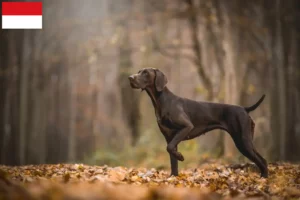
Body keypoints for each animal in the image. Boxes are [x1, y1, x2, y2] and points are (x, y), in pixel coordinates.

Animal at [127, 68, 268, 177]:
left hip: (242, 141)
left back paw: (263, 179)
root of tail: (244, 108)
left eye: (145, 73)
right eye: (139, 71)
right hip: (246, 140)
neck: (161, 101)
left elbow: (170, 148)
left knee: (262, 160)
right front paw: (173, 178)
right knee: (261, 160)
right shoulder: (169, 137)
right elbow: (172, 160)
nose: (130, 78)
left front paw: (180, 157)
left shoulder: (186, 127)